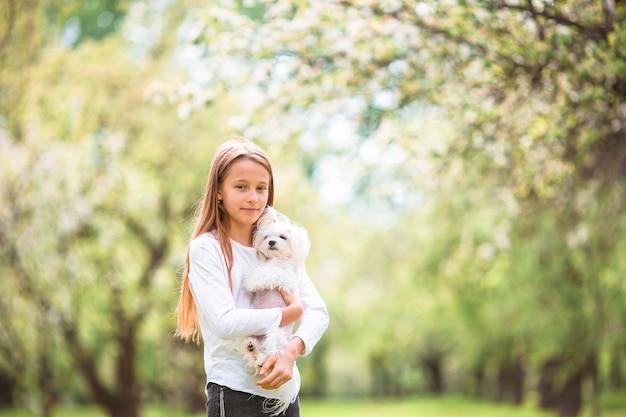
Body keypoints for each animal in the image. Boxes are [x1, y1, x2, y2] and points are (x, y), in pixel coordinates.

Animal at [235, 206, 308, 414]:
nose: (272, 242)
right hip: (249, 334)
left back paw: (262, 358)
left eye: (283, 237)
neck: (275, 260)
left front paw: (254, 279)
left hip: (275, 336)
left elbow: (270, 274)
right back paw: (251, 347)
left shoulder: (287, 281)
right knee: (252, 350)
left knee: (270, 353)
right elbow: (262, 270)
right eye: (267, 236)